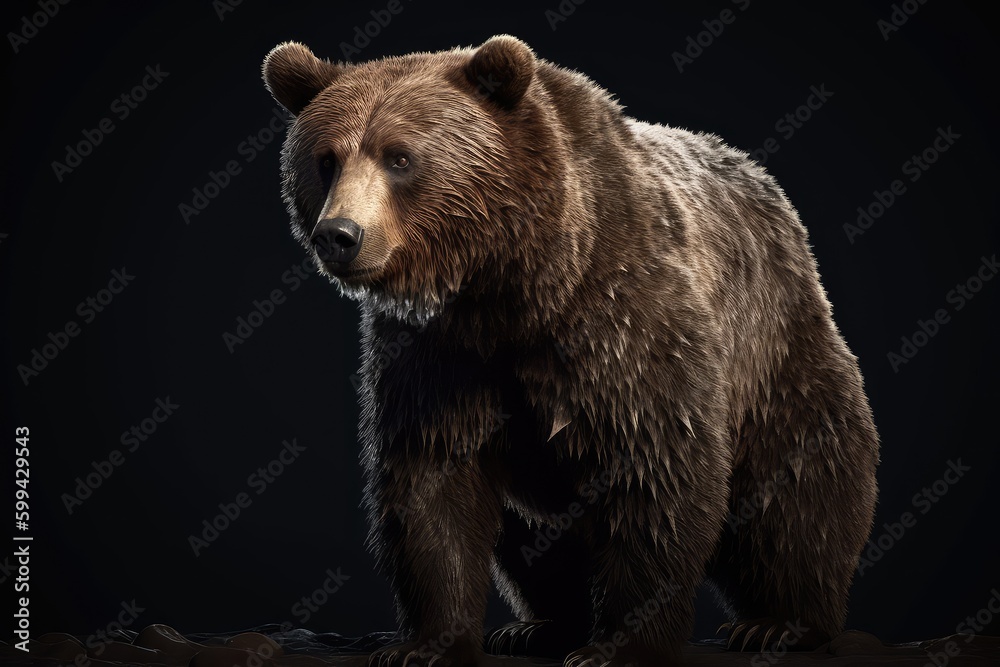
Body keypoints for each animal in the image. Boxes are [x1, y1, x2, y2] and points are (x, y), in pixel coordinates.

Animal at [262, 35, 880, 667]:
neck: (515, 286)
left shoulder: (624, 313)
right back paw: (540, 627)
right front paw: (425, 644)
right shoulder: (438, 355)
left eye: (400, 157)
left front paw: (620, 645)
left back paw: (779, 622)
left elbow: (655, 470)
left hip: (775, 348)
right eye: (327, 159)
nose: (339, 234)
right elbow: (431, 482)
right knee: (532, 537)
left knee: (799, 489)